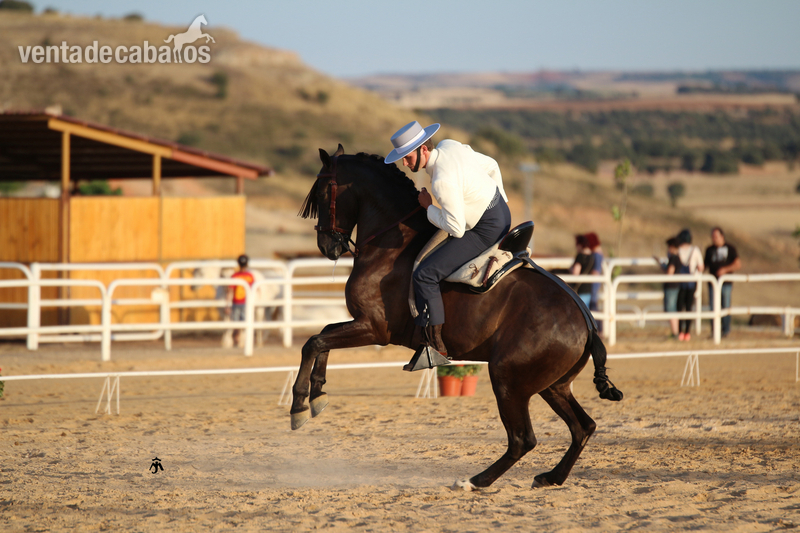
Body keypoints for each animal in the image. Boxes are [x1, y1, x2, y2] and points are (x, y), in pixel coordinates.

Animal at [291, 145, 623, 490]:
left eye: (322, 192)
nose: (326, 246)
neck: (391, 245)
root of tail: (586, 323)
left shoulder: (373, 329)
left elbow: (314, 342)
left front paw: (300, 404)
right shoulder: (363, 326)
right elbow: (322, 336)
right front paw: (318, 393)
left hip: (507, 379)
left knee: (523, 439)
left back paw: (475, 481)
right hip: (553, 386)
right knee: (583, 427)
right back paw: (551, 477)